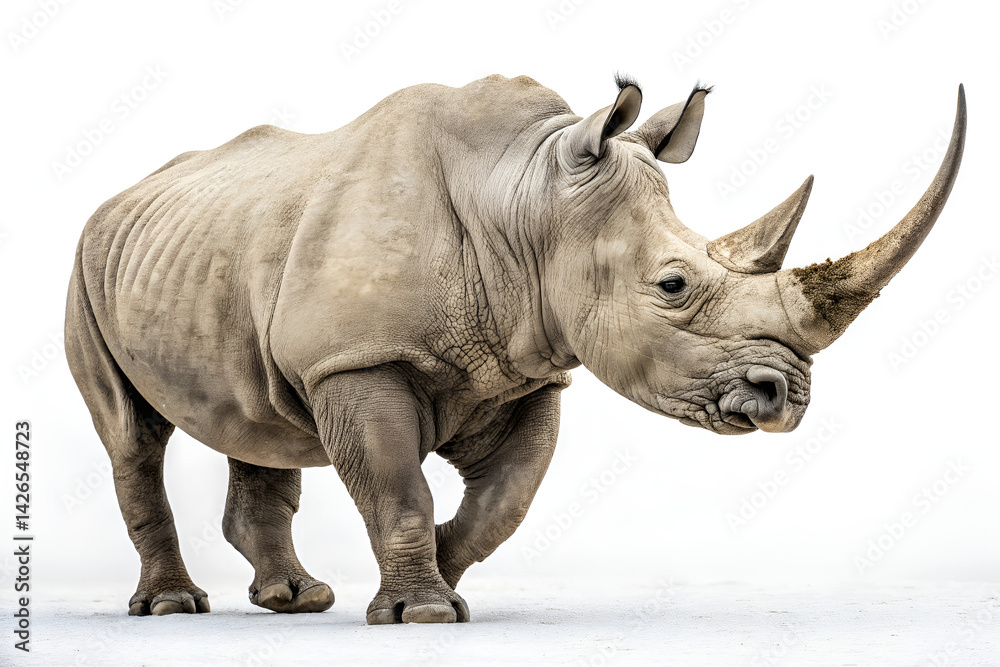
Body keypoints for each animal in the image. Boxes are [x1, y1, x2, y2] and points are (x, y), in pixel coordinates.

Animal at [65, 74, 966, 624]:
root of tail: (125, 194)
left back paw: (298, 599)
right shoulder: (358, 356)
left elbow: (506, 500)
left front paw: (437, 576)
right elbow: (398, 486)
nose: (787, 398)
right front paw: (421, 612)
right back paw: (174, 606)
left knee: (258, 421)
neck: (526, 201)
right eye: (674, 285)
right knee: (132, 435)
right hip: (86, 263)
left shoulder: (530, 366)